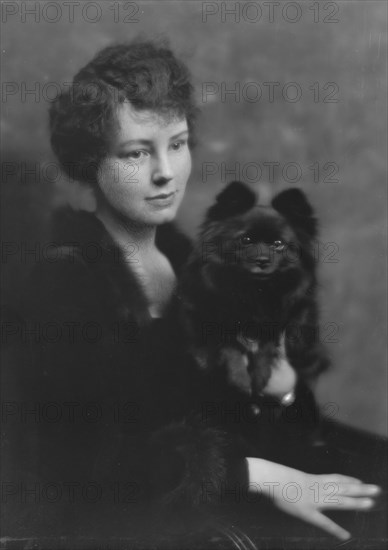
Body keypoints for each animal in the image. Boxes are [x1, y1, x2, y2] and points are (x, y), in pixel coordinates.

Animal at [180, 182, 328, 410]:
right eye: (246, 240)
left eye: (278, 243)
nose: (262, 260)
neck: (255, 290)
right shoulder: (204, 314)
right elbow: (226, 342)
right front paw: (239, 378)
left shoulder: (292, 315)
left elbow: (270, 337)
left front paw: (260, 374)